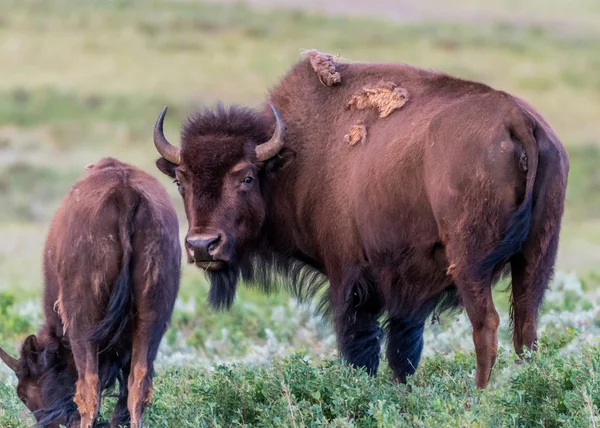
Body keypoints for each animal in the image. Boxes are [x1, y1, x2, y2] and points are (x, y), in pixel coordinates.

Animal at [0, 158, 180, 428]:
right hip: (153, 316)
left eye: (23, 394)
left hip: (83, 322)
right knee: (138, 386)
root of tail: (125, 194)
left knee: (88, 390)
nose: (49, 423)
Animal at [152, 51, 564, 390]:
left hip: (470, 264)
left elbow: (359, 348)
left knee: (486, 326)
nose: (202, 245)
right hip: (536, 257)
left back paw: (477, 397)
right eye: (180, 180)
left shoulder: (349, 278)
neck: (292, 160)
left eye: (247, 177)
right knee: (526, 325)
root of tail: (517, 120)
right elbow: (402, 351)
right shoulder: (406, 290)